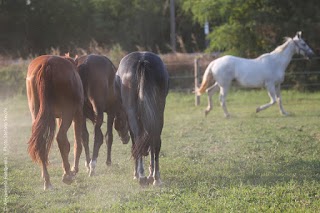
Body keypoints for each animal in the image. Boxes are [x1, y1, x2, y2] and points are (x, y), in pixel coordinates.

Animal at [26, 55, 84, 190]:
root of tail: (47, 64)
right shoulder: (77, 115)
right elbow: (78, 144)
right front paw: (74, 169)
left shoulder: (60, 117)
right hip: (68, 113)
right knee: (61, 139)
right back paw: (68, 175)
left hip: (36, 113)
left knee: (41, 144)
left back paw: (47, 182)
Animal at [115, 51, 170, 185]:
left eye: (118, 124)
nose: (123, 139)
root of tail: (142, 60)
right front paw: (151, 173)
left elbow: (135, 143)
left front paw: (137, 173)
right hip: (159, 111)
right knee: (155, 140)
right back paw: (156, 178)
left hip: (133, 112)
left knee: (139, 138)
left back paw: (141, 176)